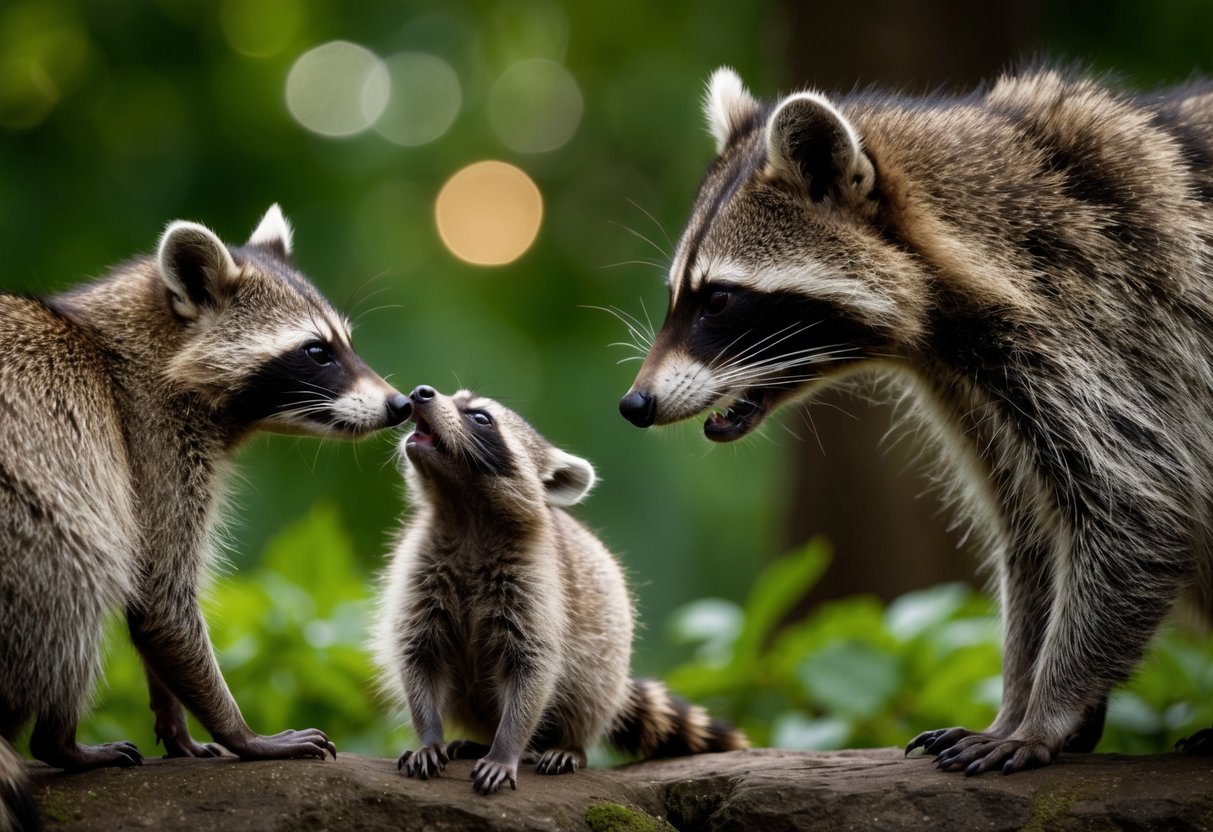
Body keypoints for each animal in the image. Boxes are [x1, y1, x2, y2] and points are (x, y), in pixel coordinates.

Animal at [0, 205, 410, 828]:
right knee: (78, 575)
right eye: (317, 352)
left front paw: (177, 724)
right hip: (26, 532)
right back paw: (59, 740)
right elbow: (160, 598)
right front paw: (242, 735)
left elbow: (151, 607)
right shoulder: (148, 439)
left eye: (346, 344)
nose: (402, 405)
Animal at [374, 385, 747, 795]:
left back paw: (565, 746)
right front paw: (430, 736)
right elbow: (419, 654)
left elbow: (534, 667)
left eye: (480, 417)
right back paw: (481, 741)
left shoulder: (537, 582)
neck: (464, 511)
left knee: (585, 694)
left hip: (605, 664)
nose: (420, 392)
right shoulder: (420, 568)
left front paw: (506, 749)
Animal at [618, 66, 1213, 774]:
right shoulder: (978, 391)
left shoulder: (1111, 331)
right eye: (677, 296)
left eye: (718, 300)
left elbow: (1137, 513)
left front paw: (1048, 711)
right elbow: (1031, 533)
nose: (635, 404)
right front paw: (1018, 704)